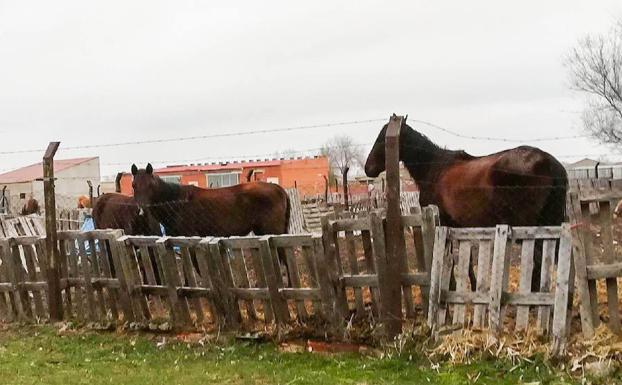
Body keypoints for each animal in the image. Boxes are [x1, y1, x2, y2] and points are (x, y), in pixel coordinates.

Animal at [366, 115, 572, 290]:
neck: (434, 168)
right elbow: (468, 259)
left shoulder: (443, 223)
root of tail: (550, 162)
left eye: (381, 139)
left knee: (537, 258)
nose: (368, 168)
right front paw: (472, 287)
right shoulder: (460, 227)